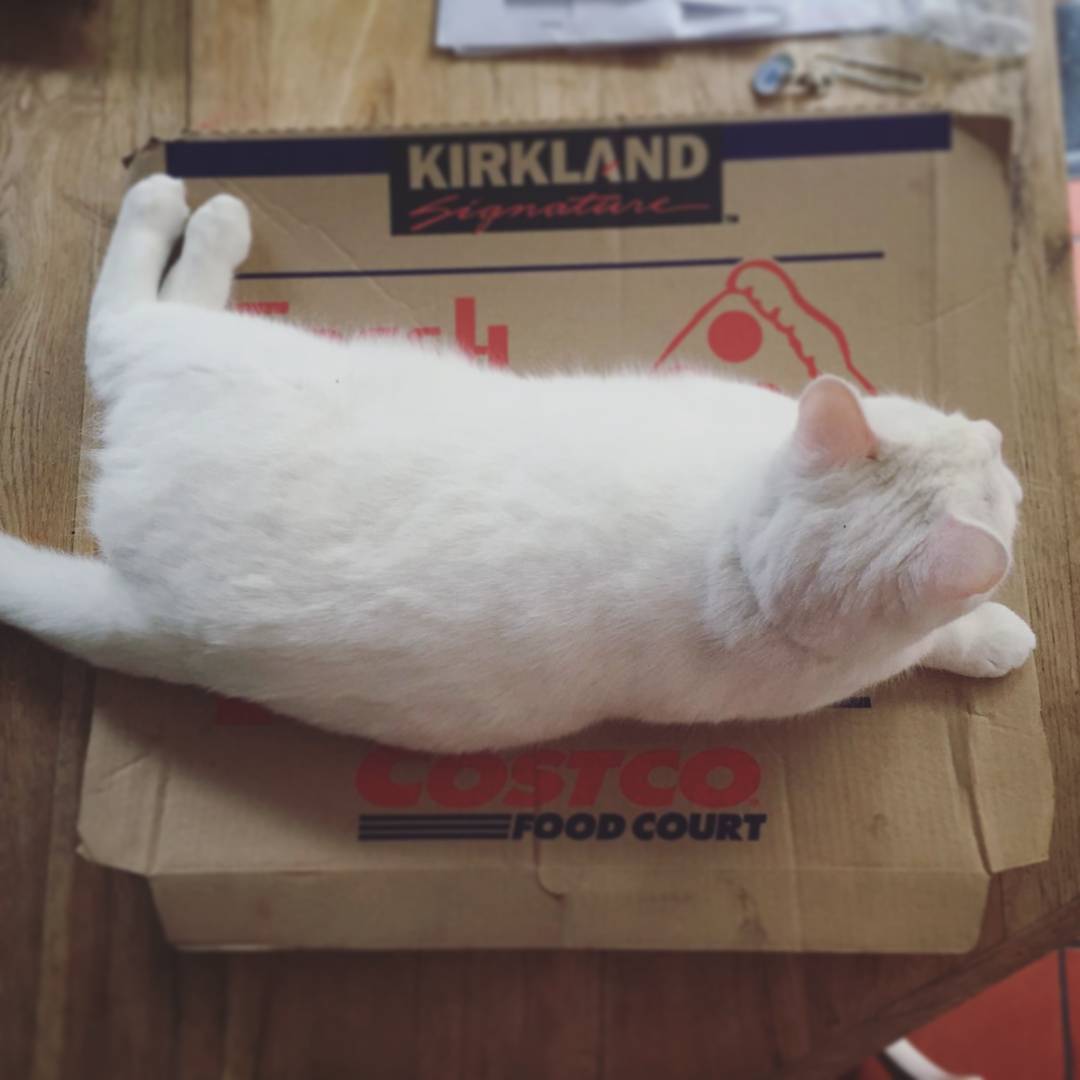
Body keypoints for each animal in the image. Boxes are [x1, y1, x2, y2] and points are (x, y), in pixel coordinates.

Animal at [0, 177, 1032, 751]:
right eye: (984, 458)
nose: (1003, 438)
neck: (745, 565)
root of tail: (149, 594)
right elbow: (943, 638)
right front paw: (998, 638)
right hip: (209, 345)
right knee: (120, 316)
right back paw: (188, 212)